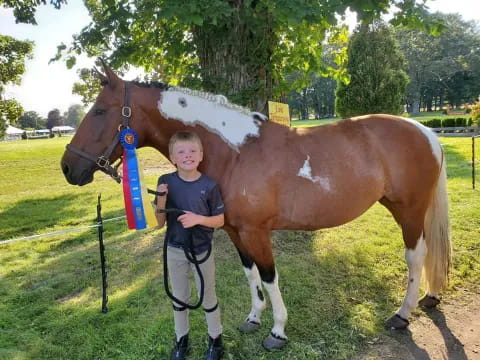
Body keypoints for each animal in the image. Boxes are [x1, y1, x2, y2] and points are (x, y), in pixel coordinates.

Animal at [59, 63, 450, 350]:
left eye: (99, 111)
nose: (67, 167)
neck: (236, 153)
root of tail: (425, 132)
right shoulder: (235, 230)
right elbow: (250, 274)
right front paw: (253, 318)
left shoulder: (257, 232)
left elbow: (269, 276)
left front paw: (277, 331)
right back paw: (430, 297)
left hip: (409, 210)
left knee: (416, 256)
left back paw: (402, 314)